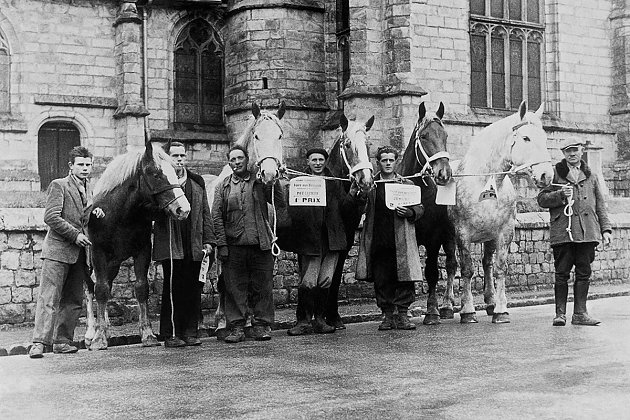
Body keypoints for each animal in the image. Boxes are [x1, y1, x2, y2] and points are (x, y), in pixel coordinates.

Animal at [85, 139, 191, 350]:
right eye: (155, 174)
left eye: (175, 171)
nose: (183, 209)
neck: (119, 214)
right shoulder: (98, 252)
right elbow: (100, 290)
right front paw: (99, 338)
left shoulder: (142, 250)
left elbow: (141, 288)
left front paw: (148, 334)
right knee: (91, 288)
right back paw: (92, 331)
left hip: (114, 262)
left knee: (105, 284)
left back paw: (105, 325)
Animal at [446, 100, 556, 324]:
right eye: (526, 138)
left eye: (543, 137)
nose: (546, 175)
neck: (485, 183)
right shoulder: (462, 233)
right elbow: (467, 269)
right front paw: (468, 310)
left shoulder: (504, 232)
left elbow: (499, 268)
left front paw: (500, 310)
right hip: (448, 237)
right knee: (451, 265)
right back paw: (447, 305)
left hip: (489, 237)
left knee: (487, 264)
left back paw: (489, 302)